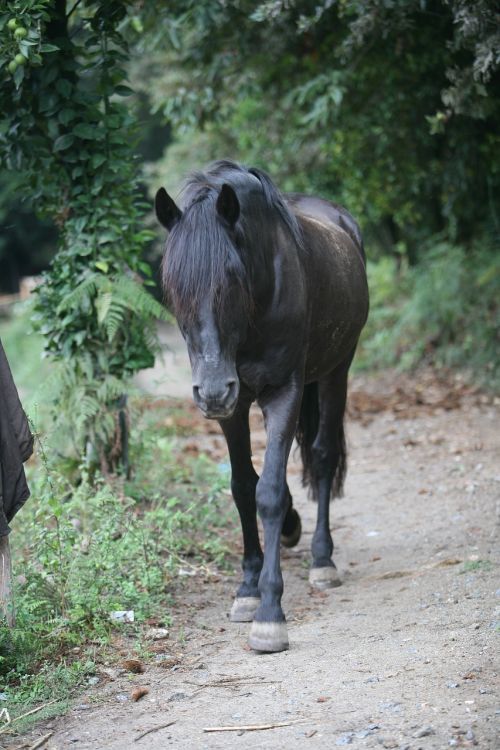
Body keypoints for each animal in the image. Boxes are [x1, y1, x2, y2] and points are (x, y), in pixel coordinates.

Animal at [155, 160, 368, 652]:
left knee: (323, 457)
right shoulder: (232, 409)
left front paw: (270, 613)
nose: (212, 390)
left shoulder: (283, 391)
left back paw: (322, 561)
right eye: (173, 288)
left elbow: (267, 492)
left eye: (231, 279)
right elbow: (241, 487)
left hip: (336, 371)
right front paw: (248, 589)